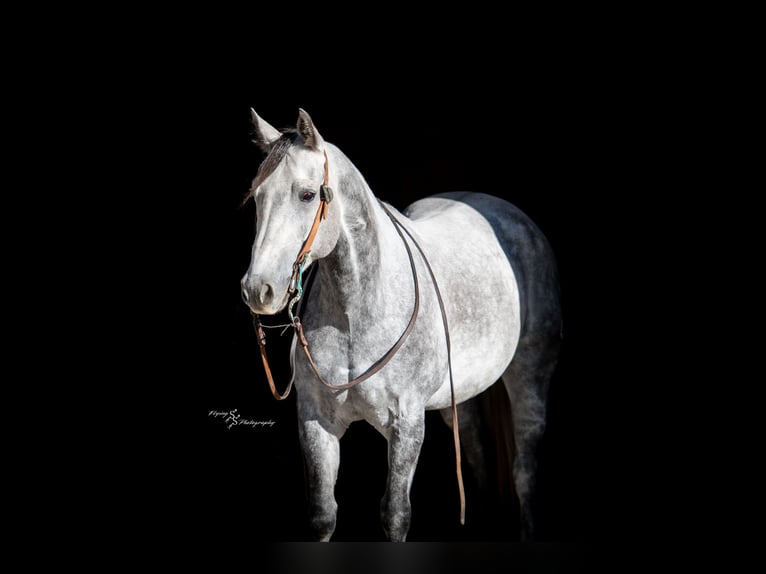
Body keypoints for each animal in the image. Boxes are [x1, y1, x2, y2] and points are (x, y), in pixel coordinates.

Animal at [240, 108, 562, 542]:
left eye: (307, 195)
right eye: (258, 197)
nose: (258, 289)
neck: (356, 312)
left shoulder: (407, 424)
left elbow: (395, 514)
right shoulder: (315, 421)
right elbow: (323, 513)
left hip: (529, 377)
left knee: (524, 470)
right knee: (475, 456)